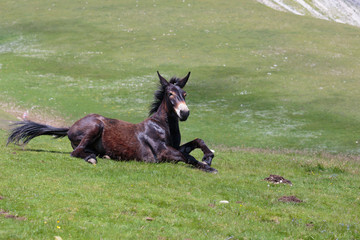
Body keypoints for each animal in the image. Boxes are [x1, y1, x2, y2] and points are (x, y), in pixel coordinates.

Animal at [7, 71, 218, 172]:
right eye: (170, 94)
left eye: (185, 94)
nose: (184, 113)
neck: (162, 126)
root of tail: (71, 127)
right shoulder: (163, 153)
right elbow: (188, 157)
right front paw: (208, 167)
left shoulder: (174, 146)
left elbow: (196, 142)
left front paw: (208, 156)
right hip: (96, 125)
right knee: (76, 152)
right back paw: (92, 158)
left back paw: (104, 156)